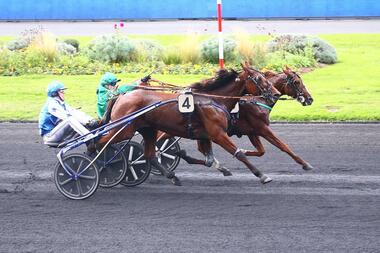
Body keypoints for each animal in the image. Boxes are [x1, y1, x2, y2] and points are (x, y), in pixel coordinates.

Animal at [95, 63, 280, 186]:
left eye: (265, 76)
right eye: (258, 78)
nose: (276, 93)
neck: (213, 100)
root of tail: (121, 95)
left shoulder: (205, 135)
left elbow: (208, 160)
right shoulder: (218, 134)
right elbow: (239, 154)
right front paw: (262, 175)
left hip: (148, 130)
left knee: (150, 155)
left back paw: (172, 176)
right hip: (123, 129)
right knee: (98, 143)